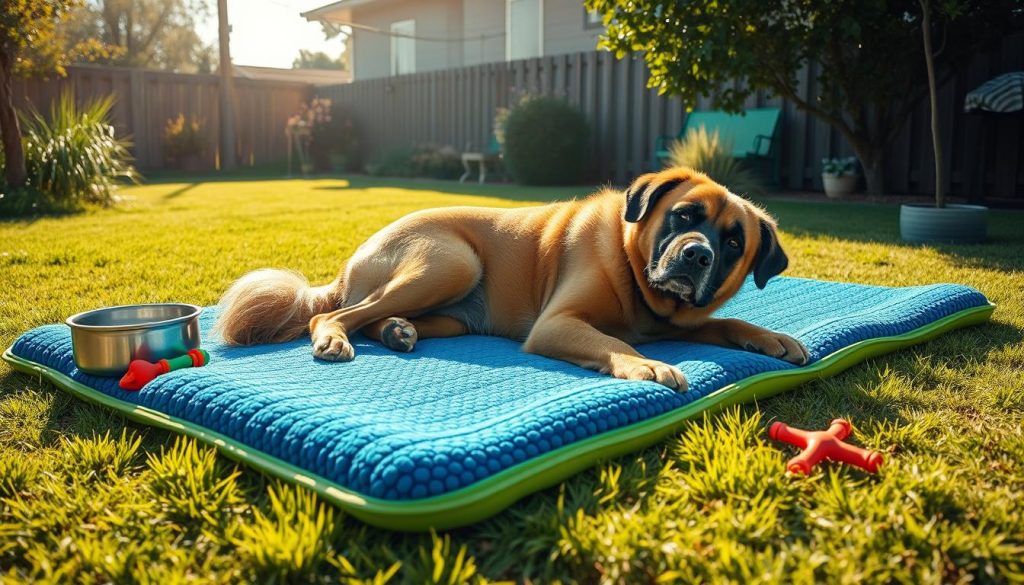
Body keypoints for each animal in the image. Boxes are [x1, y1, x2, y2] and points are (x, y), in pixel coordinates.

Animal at [218, 166, 806, 391]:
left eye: (734, 244)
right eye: (683, 217)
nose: (697, 256)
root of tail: (345, 267)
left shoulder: (687, 320)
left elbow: (729, 322)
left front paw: (773, 338)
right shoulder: (558, 324)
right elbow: (613, 342)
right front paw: (648, 365)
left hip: (452, 310)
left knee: (376, 319)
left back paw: (396, 332)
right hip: (452, 262)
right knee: (335, 314)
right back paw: (335, 337)